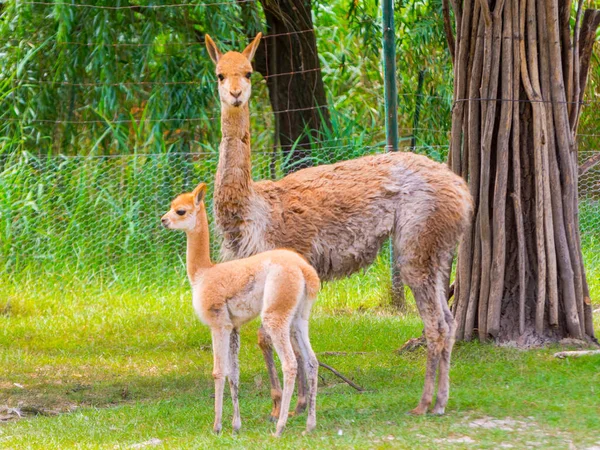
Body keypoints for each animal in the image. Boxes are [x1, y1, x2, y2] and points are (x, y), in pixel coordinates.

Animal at [159, 182, 318, 436]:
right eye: (171, 205)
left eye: (180, 211)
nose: (164, 220)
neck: (203, 274)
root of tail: (304, 271)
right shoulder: (233, 327)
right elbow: (234, 374)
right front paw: (235, 425)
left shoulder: (218, 324)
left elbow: (218, 372)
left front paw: (216, 426)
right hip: (299, 316)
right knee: (312, 361)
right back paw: (309, 426)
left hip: (275, 312)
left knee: (290, 363)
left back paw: (280, 427)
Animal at [206, 33, 474, 416]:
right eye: (219, 74)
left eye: (248, 72)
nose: (236, 94)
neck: (251, 210)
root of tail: (462, 189)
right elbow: (284, 336)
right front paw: (298, 402)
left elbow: (268, 336)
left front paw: (281, 404)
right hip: (438, 249)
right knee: (448, 322)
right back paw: (440, 401)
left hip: (418, 240)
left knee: (435, 323)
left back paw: (424, 404)